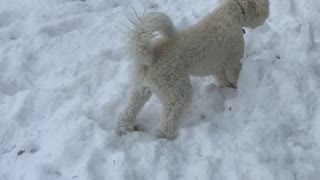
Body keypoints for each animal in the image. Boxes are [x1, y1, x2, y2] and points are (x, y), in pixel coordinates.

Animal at [116, 0, 268, 139]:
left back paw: (124, 128)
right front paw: (237, 88)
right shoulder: (233, 59)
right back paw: (166, 136)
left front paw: (226, 88)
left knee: (129, 110)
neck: (232, 12)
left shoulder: (218, 65)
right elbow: (235, 75)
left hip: (141, 88)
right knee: (167, 122)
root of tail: (149, 56)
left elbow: (222, 78)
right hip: (178, 91)